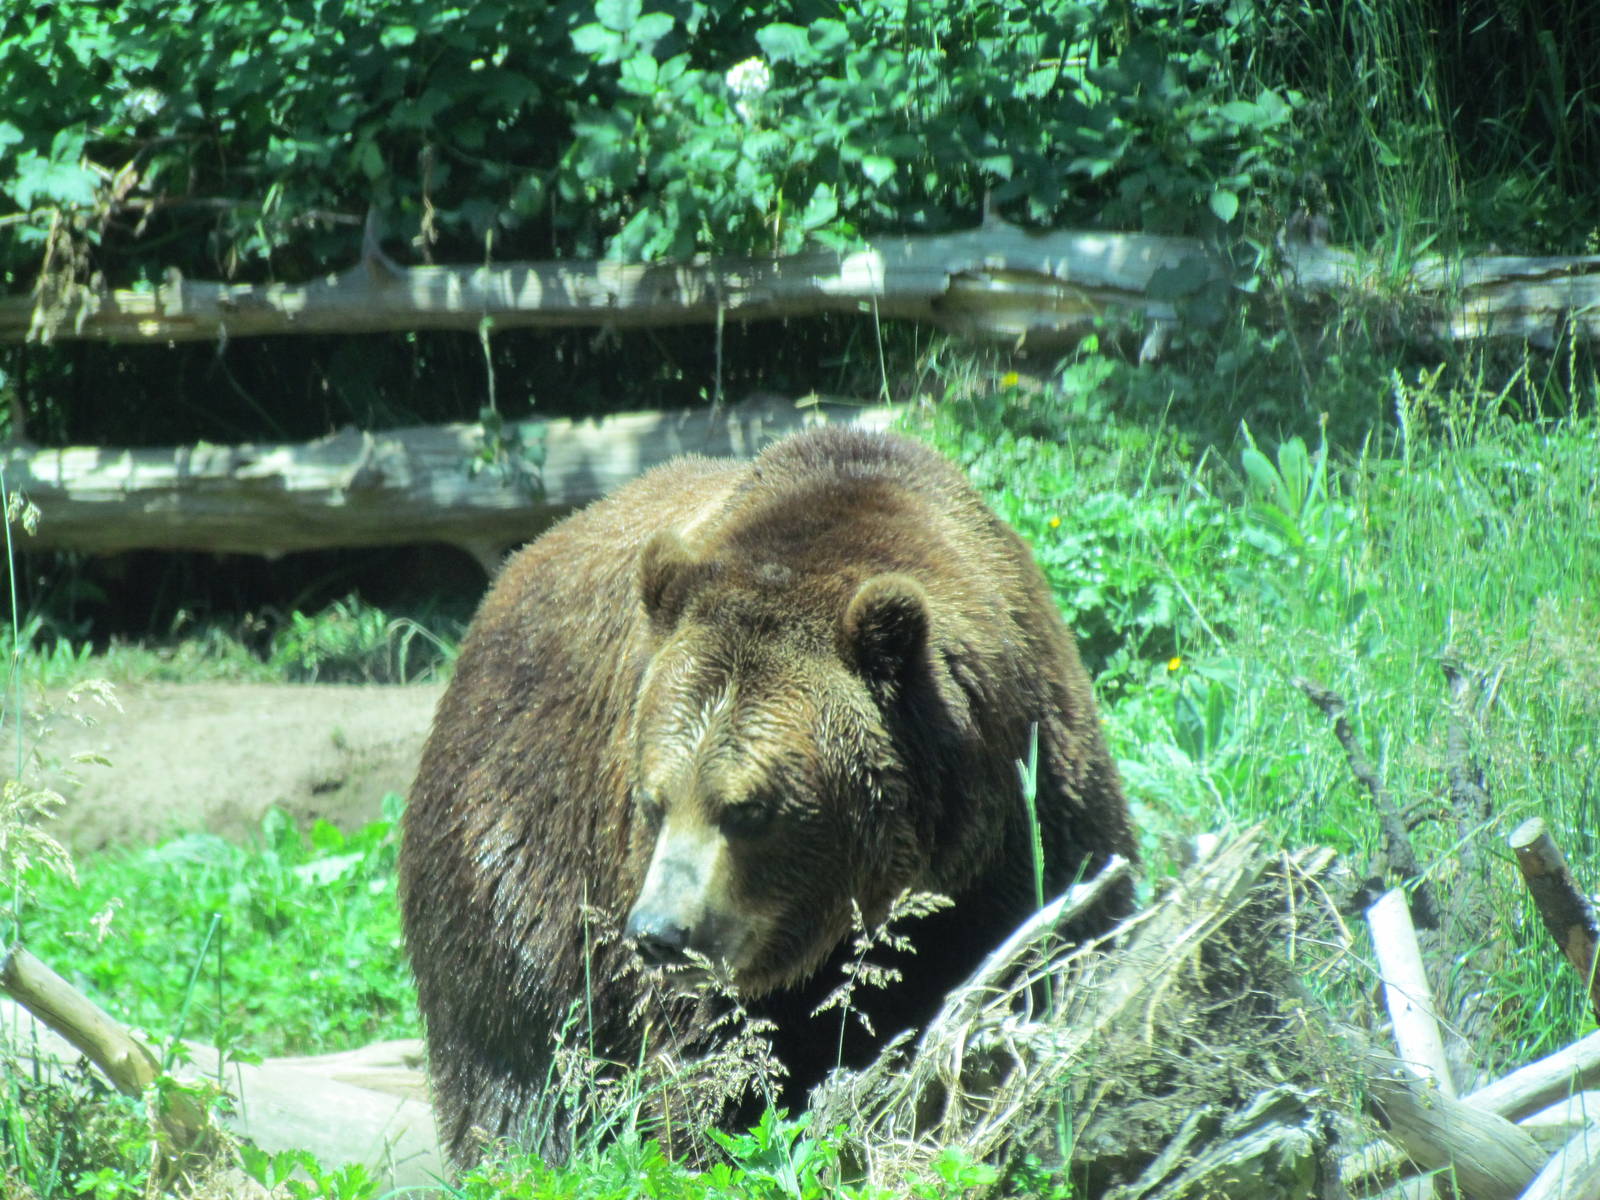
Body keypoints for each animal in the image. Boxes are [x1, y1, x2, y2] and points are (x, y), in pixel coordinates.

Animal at [399, 426, 1137, 1168]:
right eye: (654, 800)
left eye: (749, 810)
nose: (662, 934)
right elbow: (713, 1064)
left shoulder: (1024, 808)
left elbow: (1062, 937)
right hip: (516, 830)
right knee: (522, 1045)